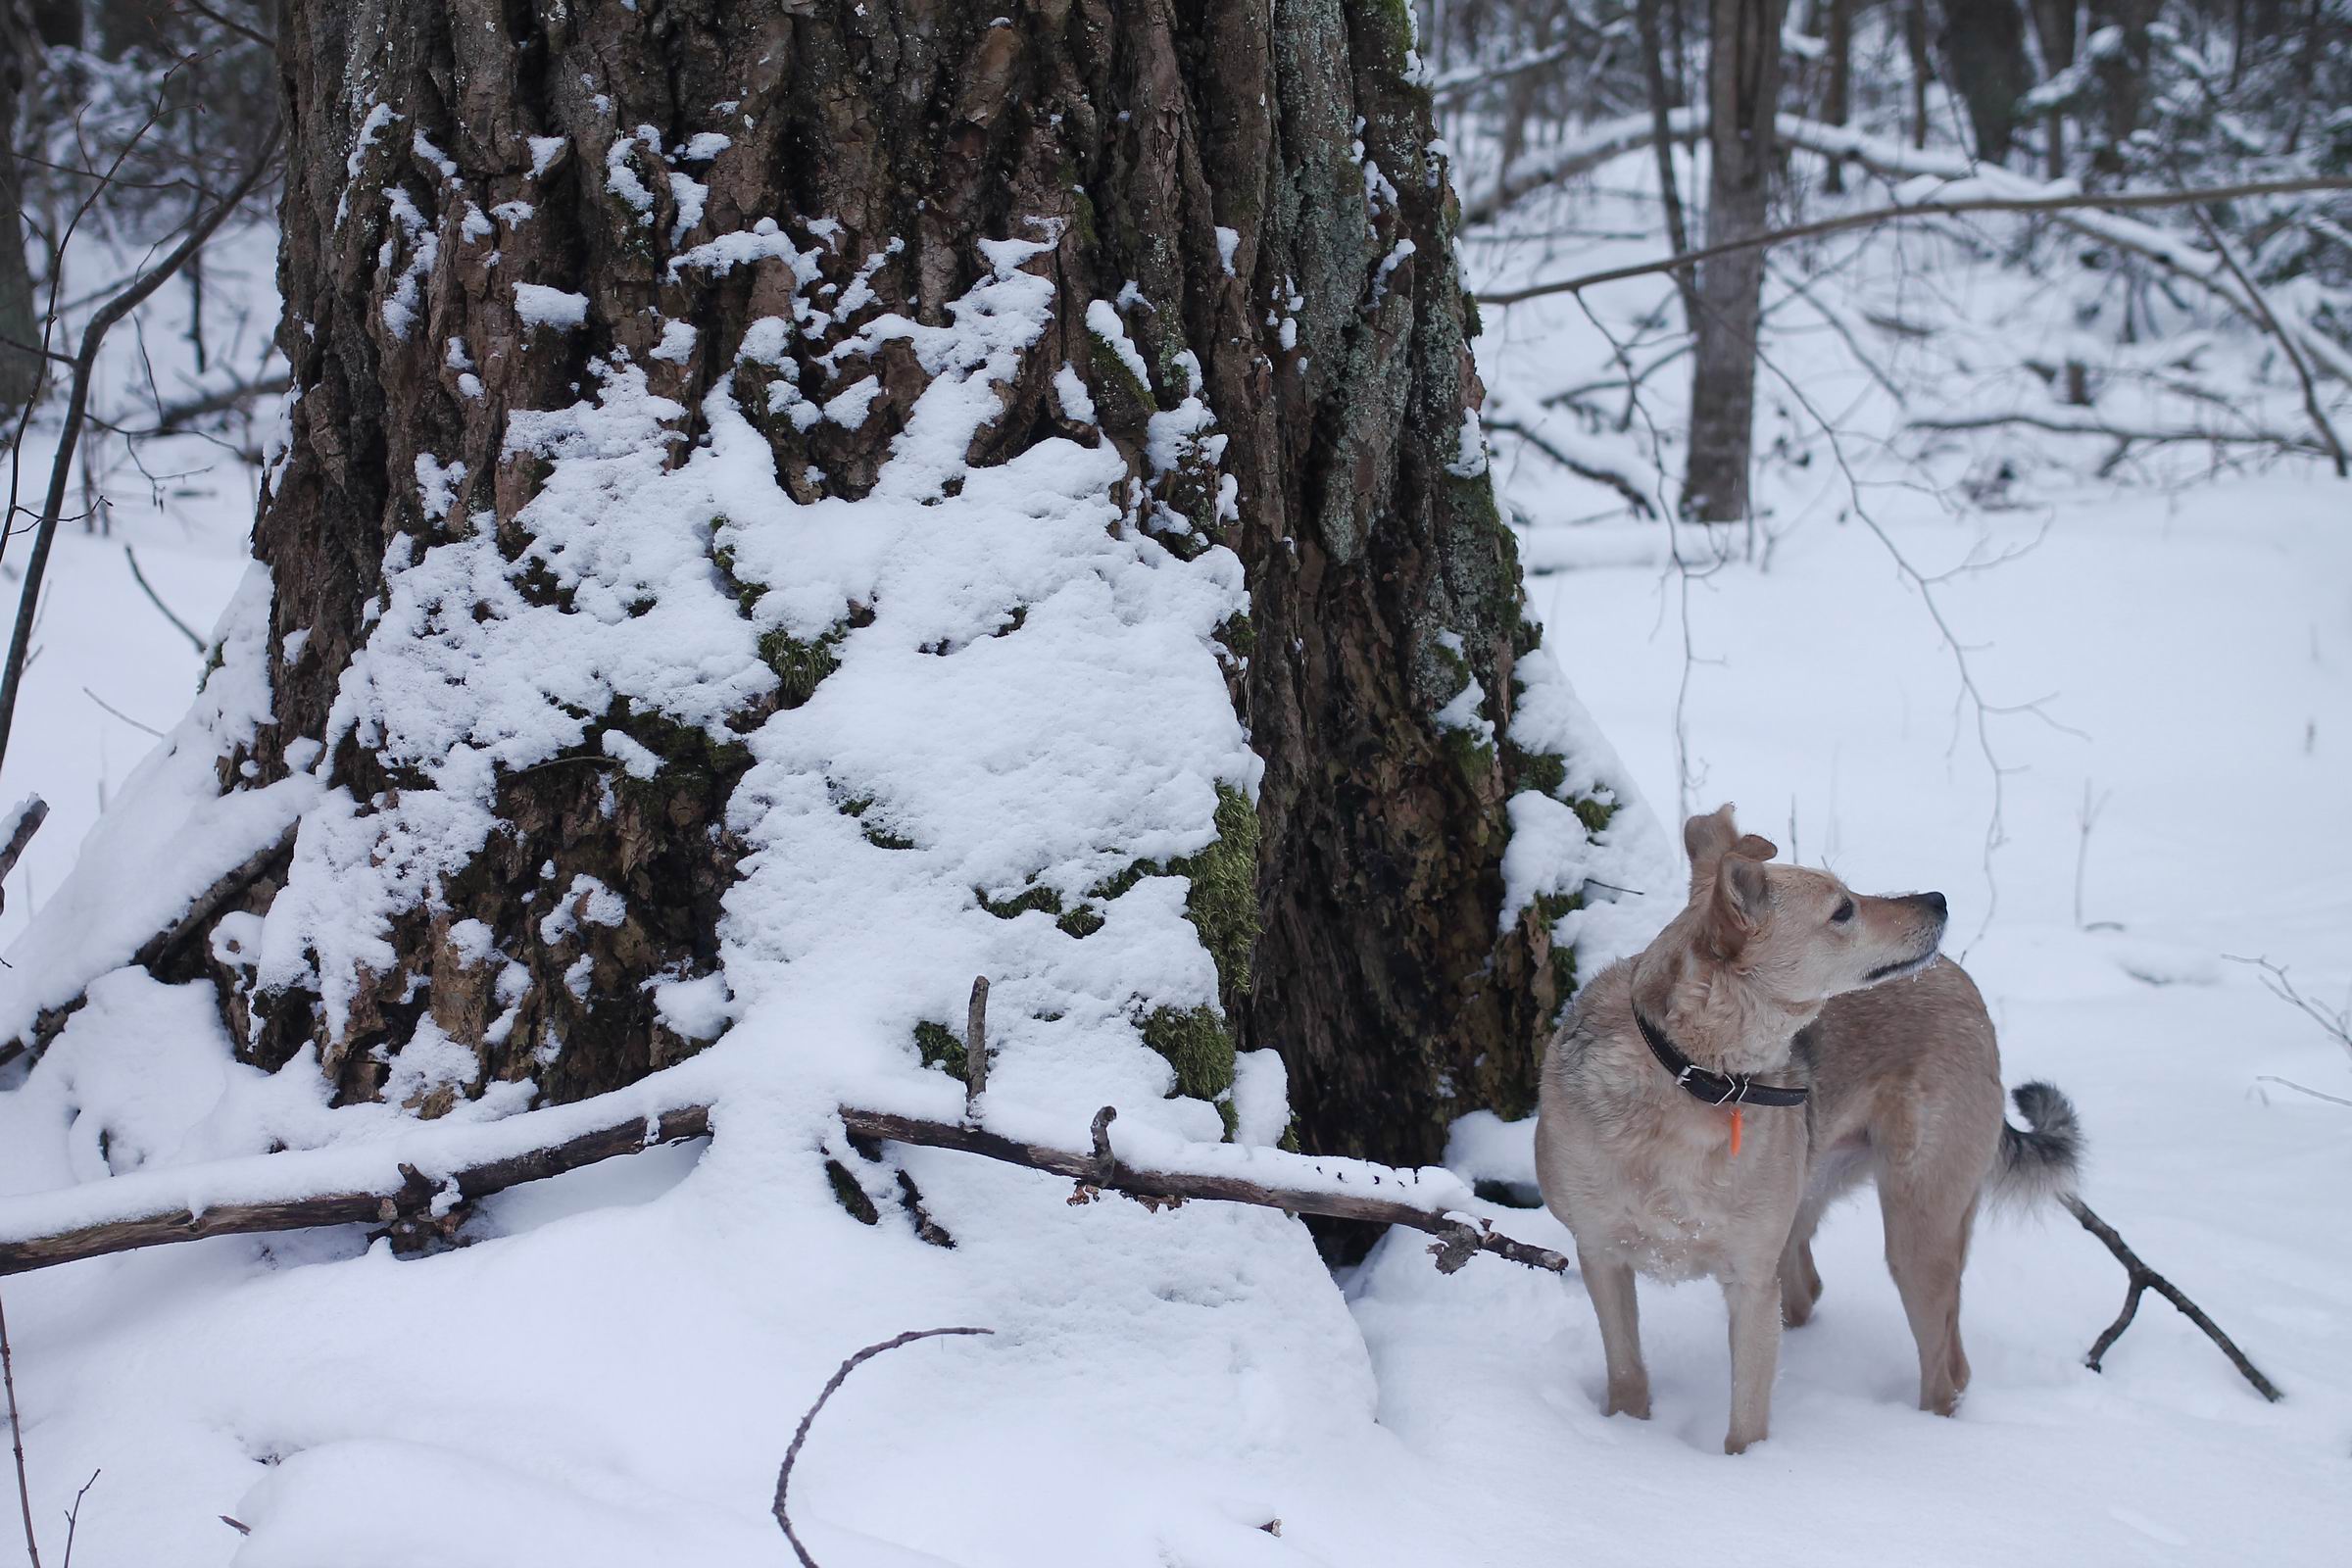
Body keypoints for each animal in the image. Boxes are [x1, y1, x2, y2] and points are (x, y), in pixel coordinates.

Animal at [1543, 808, 2079, 1457]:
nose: (1939, 899)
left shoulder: (1750, 1282)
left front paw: (1745, 1472)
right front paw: (1623, 1434)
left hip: (1918, 1232)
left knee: (1944, 1370)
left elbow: (1747, 1419)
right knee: (1817, 1295)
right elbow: (1626, 1374)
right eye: (1842, 910)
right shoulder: (1601, 1257)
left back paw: (1929, 1435)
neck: (1689, 1079)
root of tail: (1962, 982)